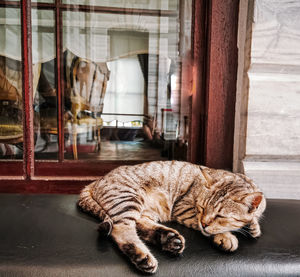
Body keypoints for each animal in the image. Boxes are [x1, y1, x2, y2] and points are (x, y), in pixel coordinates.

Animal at [78, 160, 266, 272]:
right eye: (201, 208)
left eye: (220, 215)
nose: (204, 223)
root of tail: (96, 181)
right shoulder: (184, 209)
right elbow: (207, 228)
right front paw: (226, 236)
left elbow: (252, 220)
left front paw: (253, 225)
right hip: (128, 199)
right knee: (122, 229)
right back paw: (143, 256)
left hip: (144, 209)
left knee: (140, 224)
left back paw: (168, 238)